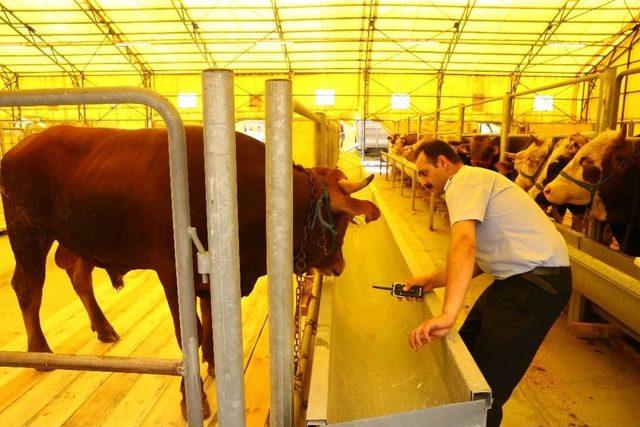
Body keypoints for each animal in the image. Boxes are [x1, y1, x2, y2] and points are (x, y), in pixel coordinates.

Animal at [0, 123, 380, 418]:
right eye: (340, 219)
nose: (339, 265)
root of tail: (20, 146)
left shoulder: (211, 273)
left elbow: (210, 317)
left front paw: (214, 361)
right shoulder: (173, 272)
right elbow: (190, 332)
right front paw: (192, 397)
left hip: (80, 239)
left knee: (78, 275)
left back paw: (104, 329)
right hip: (28, 232)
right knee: (27, 286)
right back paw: (40, 351)